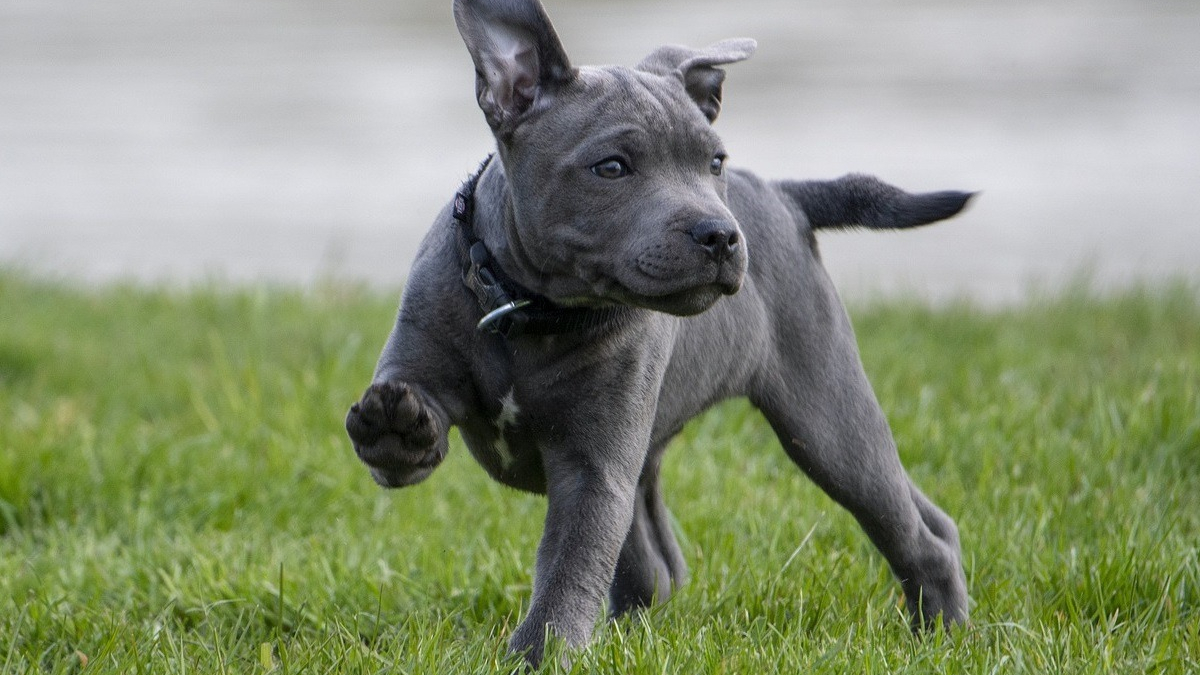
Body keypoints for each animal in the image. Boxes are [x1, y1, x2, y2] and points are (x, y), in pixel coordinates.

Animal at [343, 0, 969, 662]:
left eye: (714, 161)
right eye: (612, 167)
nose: (721, 235)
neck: (527, 312)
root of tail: (783, 195)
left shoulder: (594, 473)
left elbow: (568, 571)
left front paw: (538, 656)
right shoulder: (430, 365)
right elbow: (408, 428)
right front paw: (395, 426)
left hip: (826, 417)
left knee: (912, 532)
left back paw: (943, 636)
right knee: (659, 567)